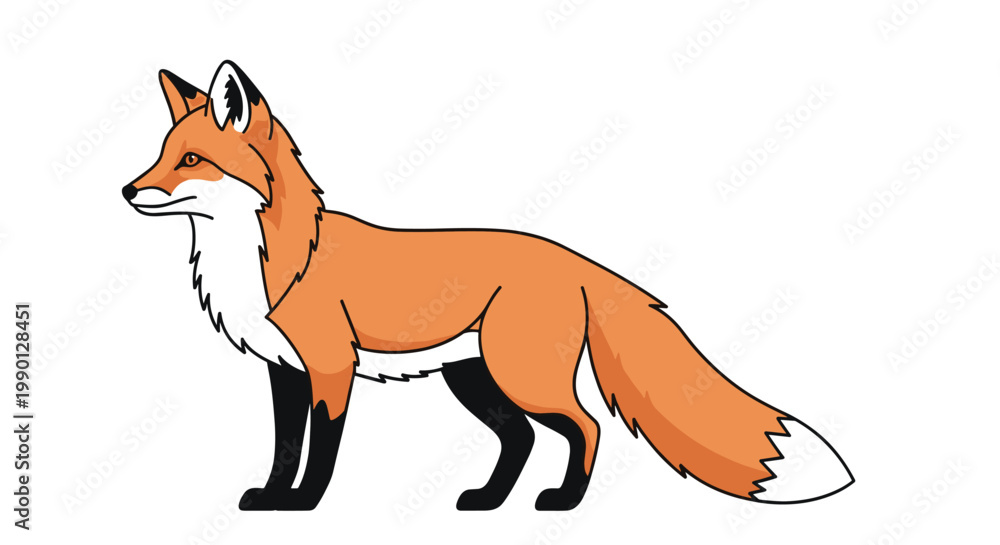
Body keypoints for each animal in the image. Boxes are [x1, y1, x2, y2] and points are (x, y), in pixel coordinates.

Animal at [122, 60, 853, 512]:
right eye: (161, 154)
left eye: (192, 160)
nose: (128, 190)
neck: (269, 257)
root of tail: (576, 259)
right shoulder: (285, 371)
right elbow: (283, 448)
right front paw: (274, 499)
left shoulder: (331, 367)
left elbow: (321, 452)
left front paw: (305, 504)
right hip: (476, 379)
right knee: (522, 439)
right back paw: (489, 501)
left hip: (520, 375)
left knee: (585, 427)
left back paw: (563, 503)